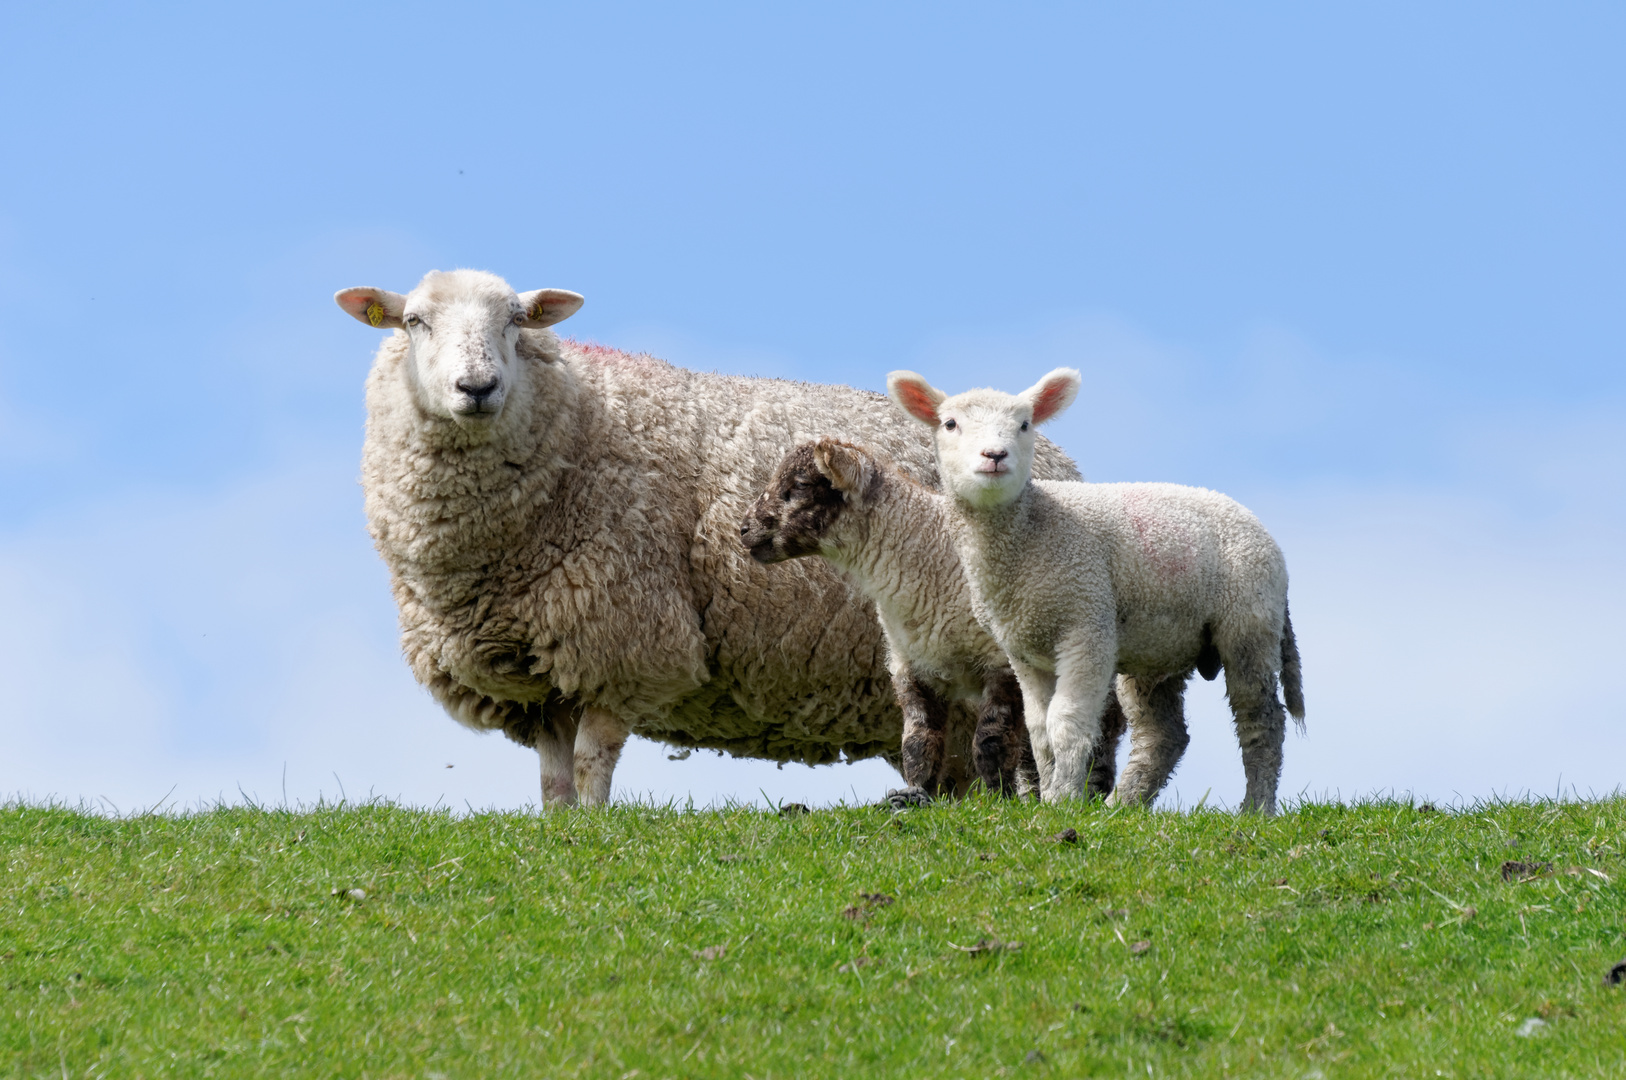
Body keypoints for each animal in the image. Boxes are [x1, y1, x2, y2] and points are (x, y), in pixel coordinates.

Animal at [744, 439, 1125, 800]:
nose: (744, 529)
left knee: (1102, 719)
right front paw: (915, 794)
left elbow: (990, 740)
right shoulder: (912, 665)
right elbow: (918, 741)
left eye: (799, 485)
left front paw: (999, 799)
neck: (930, 555)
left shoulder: (1000, 661)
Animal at [884, 367, 1300, 813]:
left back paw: (1256, 806)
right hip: (1160, 645)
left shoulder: (1085, 623)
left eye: (1025, 424)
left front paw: (1063, 799)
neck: (1030, 532)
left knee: (1260, 718)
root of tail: (1264, 533)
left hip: (1248, 618)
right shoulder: (1023, 650)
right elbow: (1039, 730)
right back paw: (1123, 804)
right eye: (950, 424)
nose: (995, 455)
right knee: (1166, 733)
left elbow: (1066, 722)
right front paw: (1051, 794)